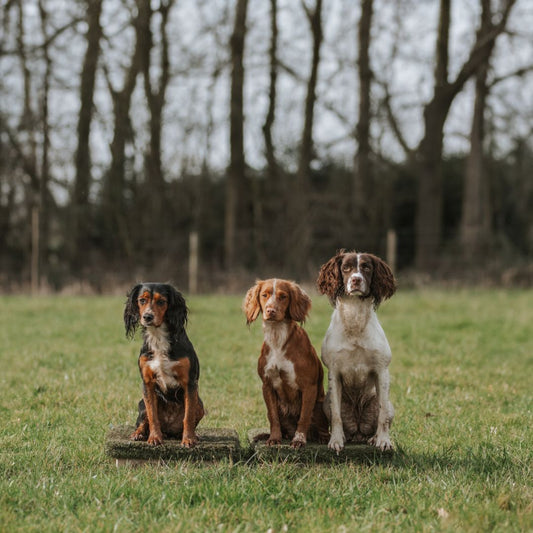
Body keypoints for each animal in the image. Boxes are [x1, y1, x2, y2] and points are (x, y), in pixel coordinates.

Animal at [123, 282, 205, 444]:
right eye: (142, 300)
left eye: (161, 301)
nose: (147, 316)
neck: (158, 337)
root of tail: (169, 430)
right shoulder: (147, 383)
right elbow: (152, 415)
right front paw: (154, 437)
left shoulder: (190, 382)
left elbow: (188, 416)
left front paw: (188, 439)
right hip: (141, 403)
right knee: (143, 421)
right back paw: (138, 434)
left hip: (200, 405)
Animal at [244, 280, 328, 446]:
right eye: (264, 295)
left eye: (283, 296)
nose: (270, 310)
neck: (277, 338)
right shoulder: (267, 385)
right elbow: (273, 418)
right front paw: (274, 438)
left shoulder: (309, 386)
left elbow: (304, 417)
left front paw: (299, 440)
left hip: (321, 404)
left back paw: (321, 438)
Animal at [316, 249, 394, 448]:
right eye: (346, 268)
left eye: (366, 267)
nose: (356, 280)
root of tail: (358, 433)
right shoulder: (334, 372)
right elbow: (336, 416)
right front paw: (336, 440)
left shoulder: (382, 371)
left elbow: (382, 415)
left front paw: (383, 440)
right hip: (325, 403)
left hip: (389, 405)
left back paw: (374, 438)